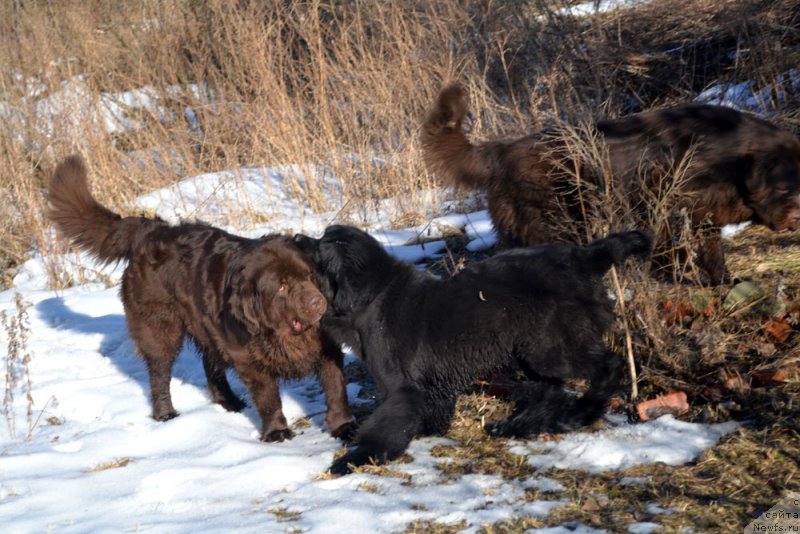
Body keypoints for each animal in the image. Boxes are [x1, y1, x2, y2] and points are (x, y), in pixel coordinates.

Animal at [46, 156, 354, 444]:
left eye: (309, 275)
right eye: (281, 286)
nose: (318, 303)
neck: (285, 334)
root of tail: (148, 231)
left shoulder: (326, 346)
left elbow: (336, 388)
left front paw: (343, 426)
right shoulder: (248, 357)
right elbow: (268, 396)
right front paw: (276, 431)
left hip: (206, 323)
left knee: (210, 364)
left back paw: (229, 402)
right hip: (160, 327)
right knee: (159, 372)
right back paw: (166, 414)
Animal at [294, 224, 648, 476]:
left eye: (319, 247)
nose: (297, 236)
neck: (371, 297)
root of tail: (585, 258)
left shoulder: (402, 389)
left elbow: (384, 426)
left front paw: (355, 459)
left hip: (550, 349)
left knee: (609, 366)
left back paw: (579, 415)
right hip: (529, 348)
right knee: (549, 389)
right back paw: (516, 426)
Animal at [418, 82, 800, 284]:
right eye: (783, 188)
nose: (795, 219)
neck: (729, 161)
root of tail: (502, 150)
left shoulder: (705, 217)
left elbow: (712, 252)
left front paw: (724, 281)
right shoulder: (666, 203)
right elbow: (672, 248)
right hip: (553, 221)